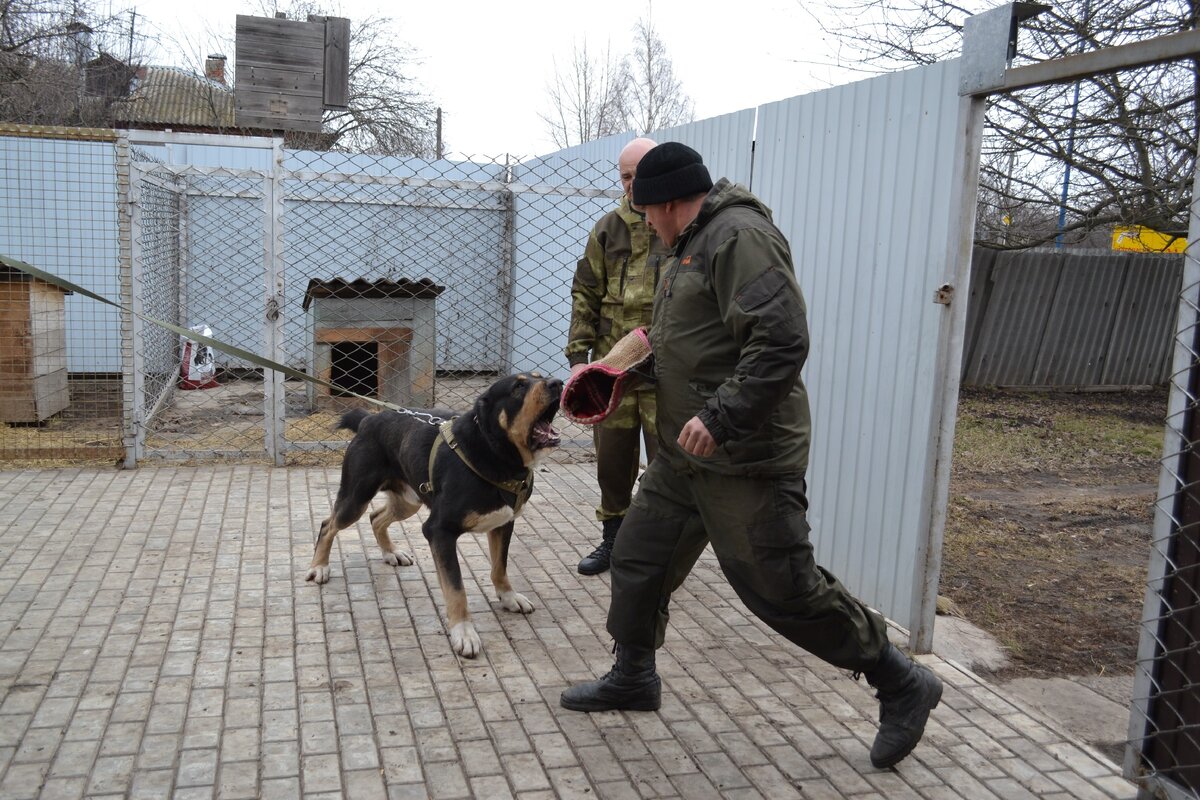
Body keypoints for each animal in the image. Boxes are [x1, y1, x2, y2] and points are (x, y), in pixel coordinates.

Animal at [302, 371, 559, 662]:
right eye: (518, 387)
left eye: (540, 378)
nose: (558, 383)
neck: (494, 455)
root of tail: (368, 419)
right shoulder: (439, 530)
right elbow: (456, 589)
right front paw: (463, 632)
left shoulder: (504, 524)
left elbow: (499, 568)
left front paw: (508, 597)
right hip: (356, 499)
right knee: (329, 524)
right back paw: (319, 567)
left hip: (408, 501)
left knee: (376, 517)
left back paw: (391, 553)